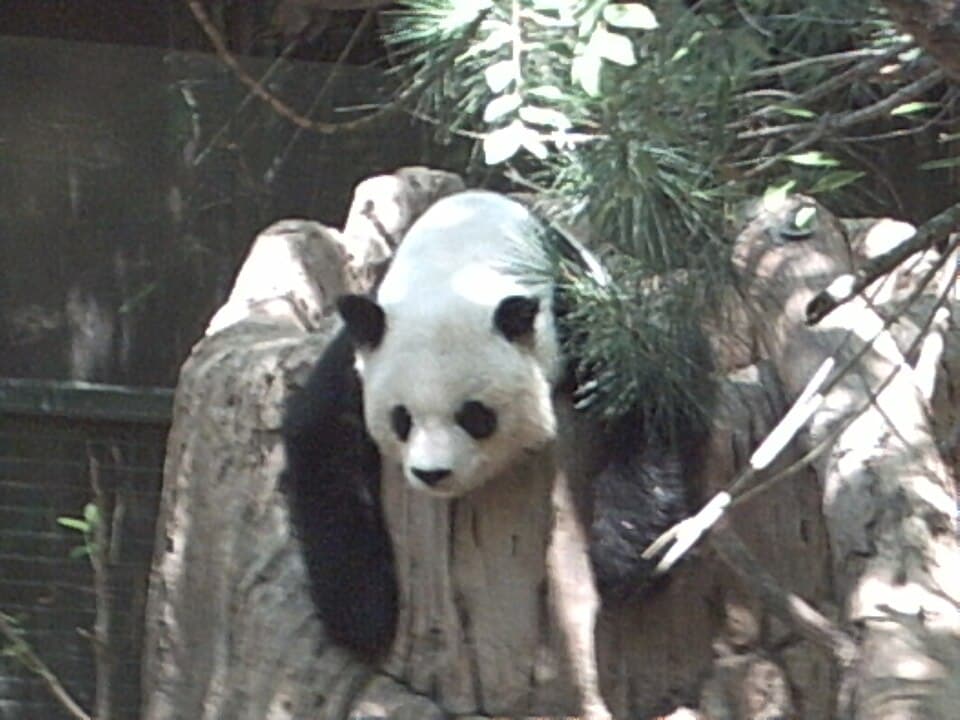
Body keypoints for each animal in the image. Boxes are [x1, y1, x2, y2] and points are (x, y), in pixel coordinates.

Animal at [281, 190, 698, 718]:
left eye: (475, 415)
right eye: (402, 418)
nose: (432, 473)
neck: (458, 260)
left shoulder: (578, 319)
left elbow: (649, 390)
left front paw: (625, 558)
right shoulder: (362, 356)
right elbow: (321, 439)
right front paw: (363, 611)